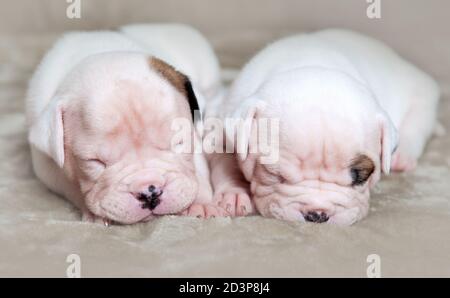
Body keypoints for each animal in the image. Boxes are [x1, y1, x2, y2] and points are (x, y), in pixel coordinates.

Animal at [26, 23, 227, 224]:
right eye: (95, 161)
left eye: (179, 143)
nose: (149, 192)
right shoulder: (46, 167)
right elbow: (70, 184)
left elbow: (199, 168)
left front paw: (200, 204)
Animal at [213, 29, 442, 226]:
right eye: (274, 174)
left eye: (361, 177)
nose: (317, 214)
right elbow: (224, 162)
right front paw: (234, 193)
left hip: (421, 94)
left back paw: (402, 156)